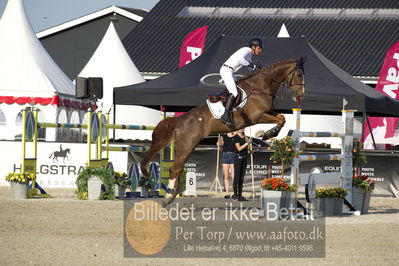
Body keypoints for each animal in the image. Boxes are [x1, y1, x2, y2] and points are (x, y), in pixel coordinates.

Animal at [141, 58, 306, 206]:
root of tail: (180, 119)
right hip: (186, 145)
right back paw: (168, 197)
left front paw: (268, 133)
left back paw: (172, 195)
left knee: (178, 168)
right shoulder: (257, 116)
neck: (260, 87)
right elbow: (281, 119)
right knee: (174, 169)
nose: (301, 94)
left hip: (188, 147)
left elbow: (282, 118)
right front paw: (266, 133)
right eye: (299, 74)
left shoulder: (268, 112)